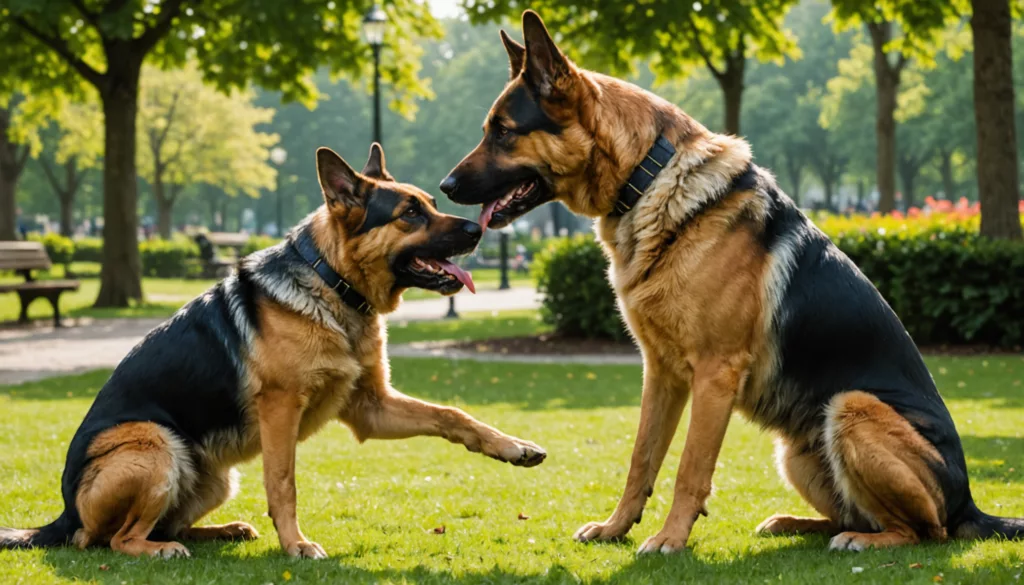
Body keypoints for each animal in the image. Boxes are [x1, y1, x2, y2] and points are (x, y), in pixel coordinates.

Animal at [2, 144, 544, 561]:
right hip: (153, 445)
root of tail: (63, 515)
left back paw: (224, 531)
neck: (332, 282)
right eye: (410, 214)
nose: (479, 229)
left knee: (163, 525)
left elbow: (453, 415)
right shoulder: (281, 409)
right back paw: (160, 549)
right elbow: (284, 483)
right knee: (114, 539)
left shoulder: (371, 407)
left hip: (214, 478)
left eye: (431, 203)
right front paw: (296, 545)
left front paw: (513, 446)